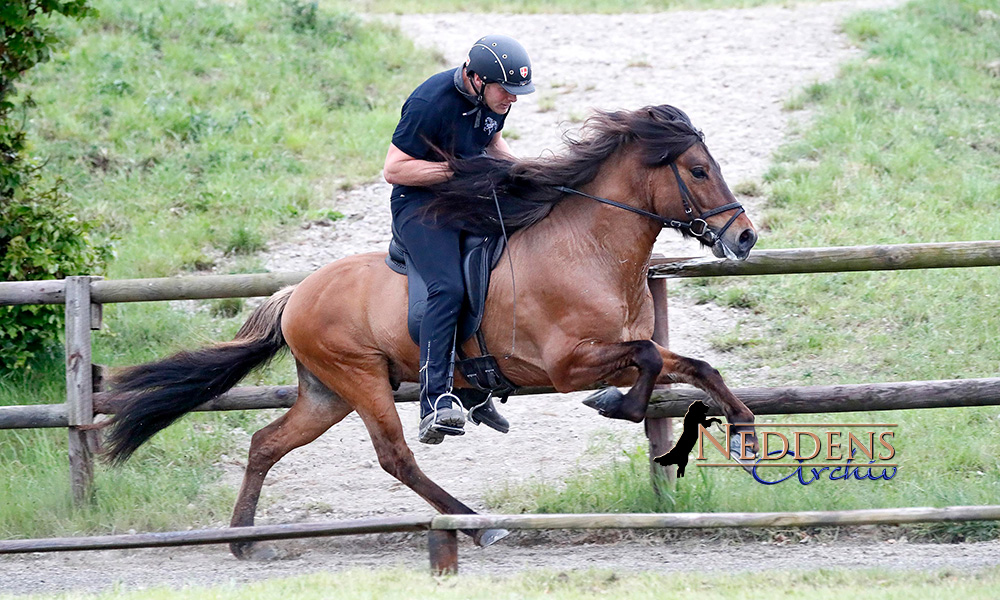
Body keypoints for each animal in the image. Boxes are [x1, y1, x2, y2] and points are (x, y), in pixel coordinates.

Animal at [103, 103, 756, 556]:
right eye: (699, 170)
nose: (745, 237)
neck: (589, 250)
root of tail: (296, 294)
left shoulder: (623, 349)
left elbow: (693, 366)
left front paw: (747, 434)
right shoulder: (568, 364)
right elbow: (645, 358)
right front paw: (617, 404)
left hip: (326, 393)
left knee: (266, 442)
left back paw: (243, 540)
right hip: (361, 378)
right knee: (396, 457)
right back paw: (474, 523)